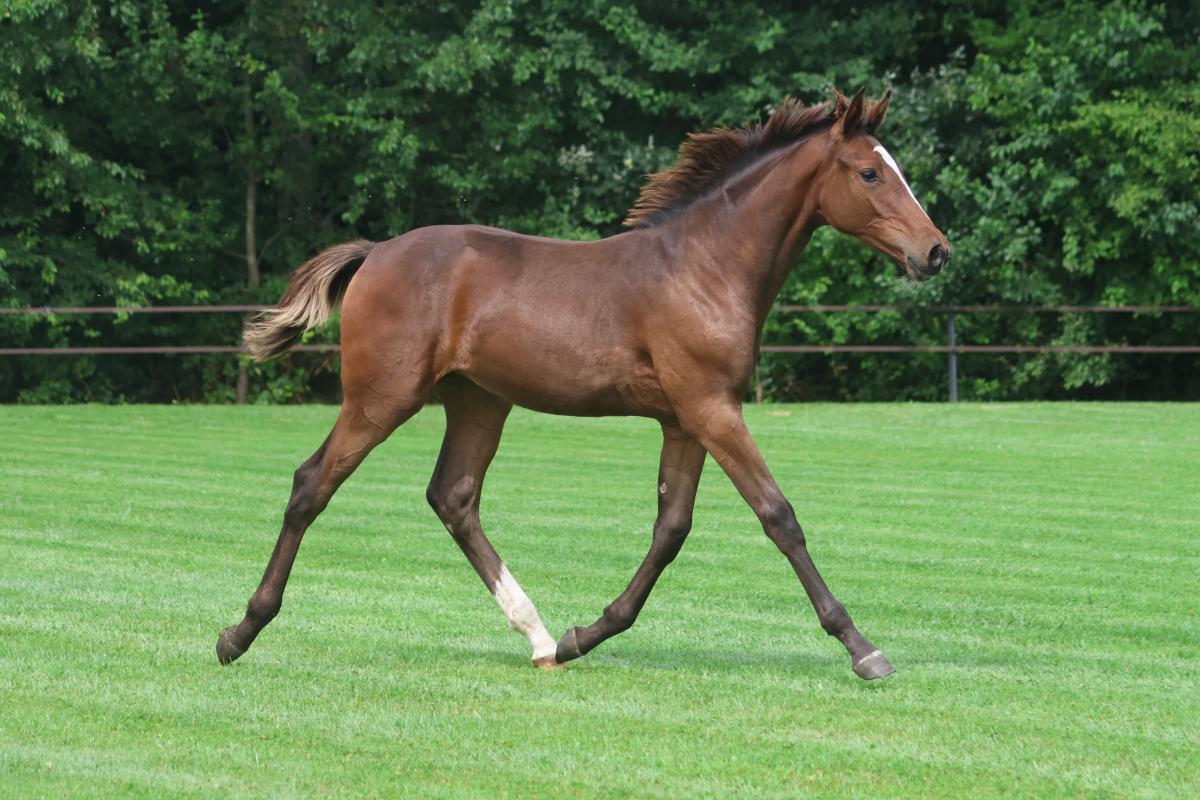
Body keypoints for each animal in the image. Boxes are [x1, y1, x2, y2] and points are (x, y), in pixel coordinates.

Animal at [217, 87, 950, 680]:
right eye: (870, 172)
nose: (936, 251)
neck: (705, 267)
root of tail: (375, 253)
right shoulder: (713, 409)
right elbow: (778, 516)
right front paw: (863, 648)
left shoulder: (686, 419)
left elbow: (671, 529)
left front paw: (583, 636)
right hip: (380, 399)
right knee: (312, 484)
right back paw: (239, 633)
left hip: (479, 402)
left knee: (454, 497)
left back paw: (540, 638)